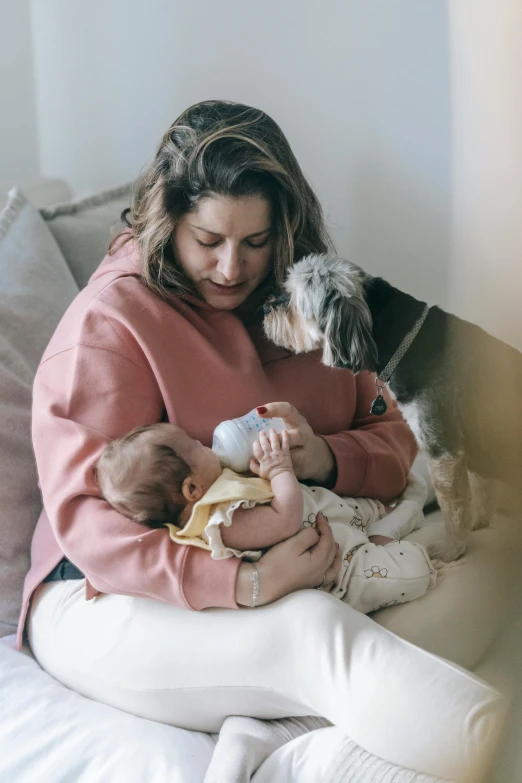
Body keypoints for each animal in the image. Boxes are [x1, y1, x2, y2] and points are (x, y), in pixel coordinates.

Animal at [262, 258, 520, 564]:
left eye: (294, 300)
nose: (265, 307)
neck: (408, 340)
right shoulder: (473, 447)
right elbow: (481, 487)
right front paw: (478, 523)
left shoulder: (443, 450)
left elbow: (453, 506)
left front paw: (451, 549)